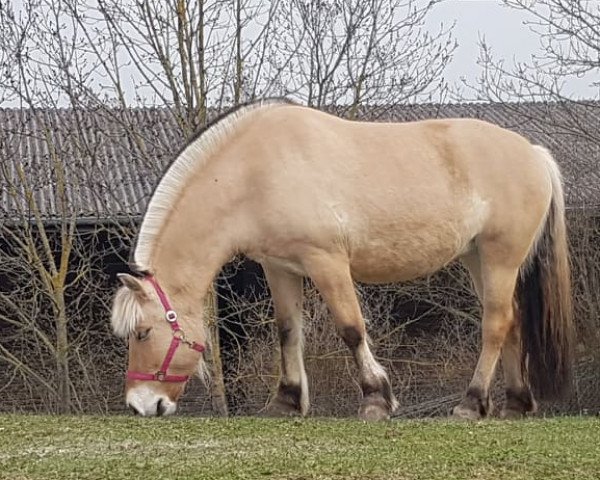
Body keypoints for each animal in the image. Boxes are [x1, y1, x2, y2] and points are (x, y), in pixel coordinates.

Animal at [110, 99, 576, 418]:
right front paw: (286, 402)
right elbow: (288, 331)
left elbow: (351, 329)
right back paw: (515, 404)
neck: (256, 170)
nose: (140, 405)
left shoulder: (327, 261)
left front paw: (376, 400)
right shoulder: (280, 268)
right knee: (510, 321)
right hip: (479, 258)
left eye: (143, 333)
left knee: (495, 324)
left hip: (500, 257)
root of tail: (534, 153)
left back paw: (470, 403)